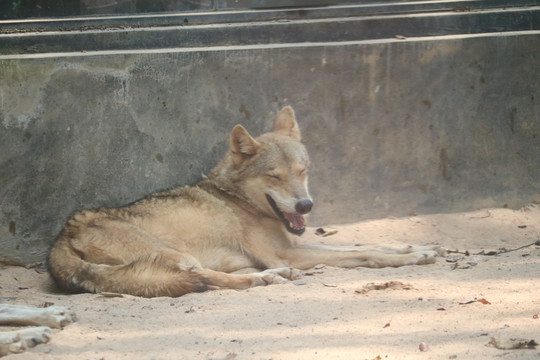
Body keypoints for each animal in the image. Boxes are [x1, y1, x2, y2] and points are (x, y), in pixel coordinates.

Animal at [47, 106, 442, 298]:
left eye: (302, 171)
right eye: (274, 177)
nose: (306, 206)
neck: (237, 199)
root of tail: (58, 245)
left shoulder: (293, 245)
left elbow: (365, 245)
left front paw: (415, 247)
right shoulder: (286, 253)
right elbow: (363, 253)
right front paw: (410, 257)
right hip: (179, 256)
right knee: (204, 279)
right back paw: (267, 279)